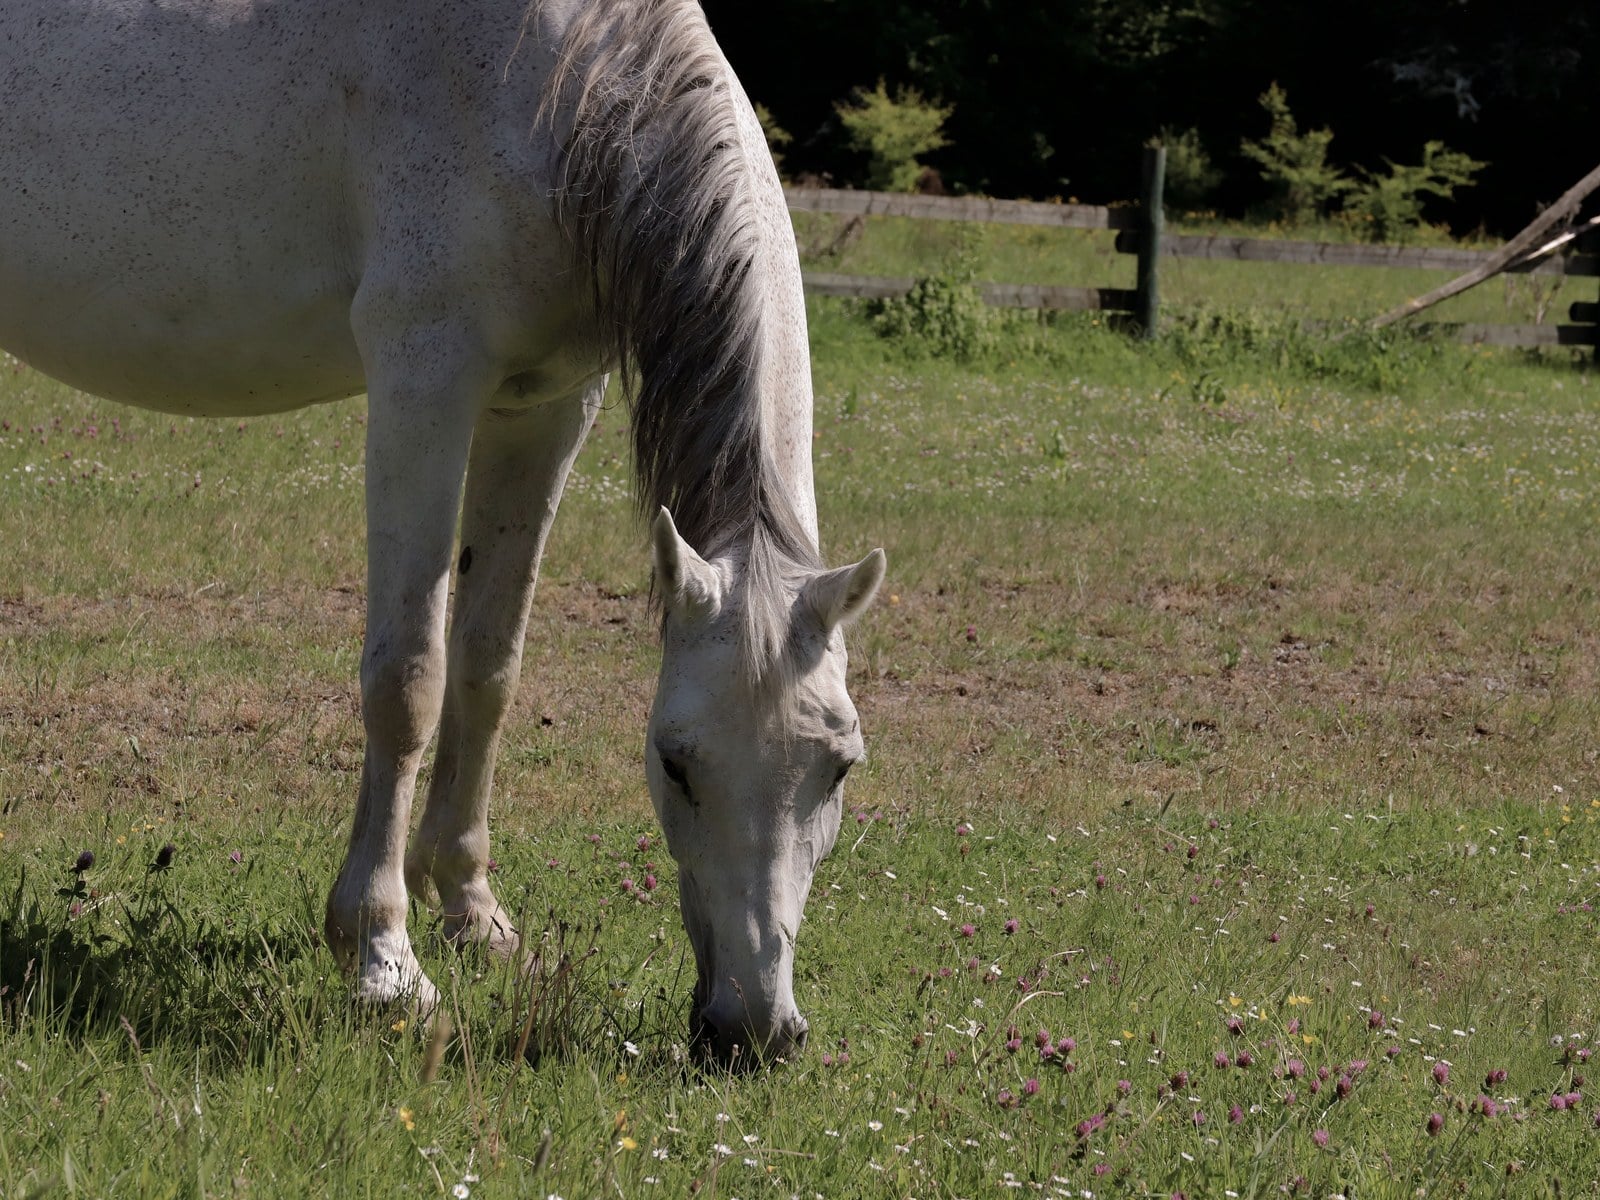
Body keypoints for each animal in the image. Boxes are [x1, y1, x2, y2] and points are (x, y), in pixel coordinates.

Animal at [0, 0, 884, 1064]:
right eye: (674, 760)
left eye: (838, 766)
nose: (754, 1031)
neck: (558, 87)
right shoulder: (424, 375)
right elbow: (408, 680)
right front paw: (384, 958)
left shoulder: (547, 403)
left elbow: (487, 665)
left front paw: (472, 916)